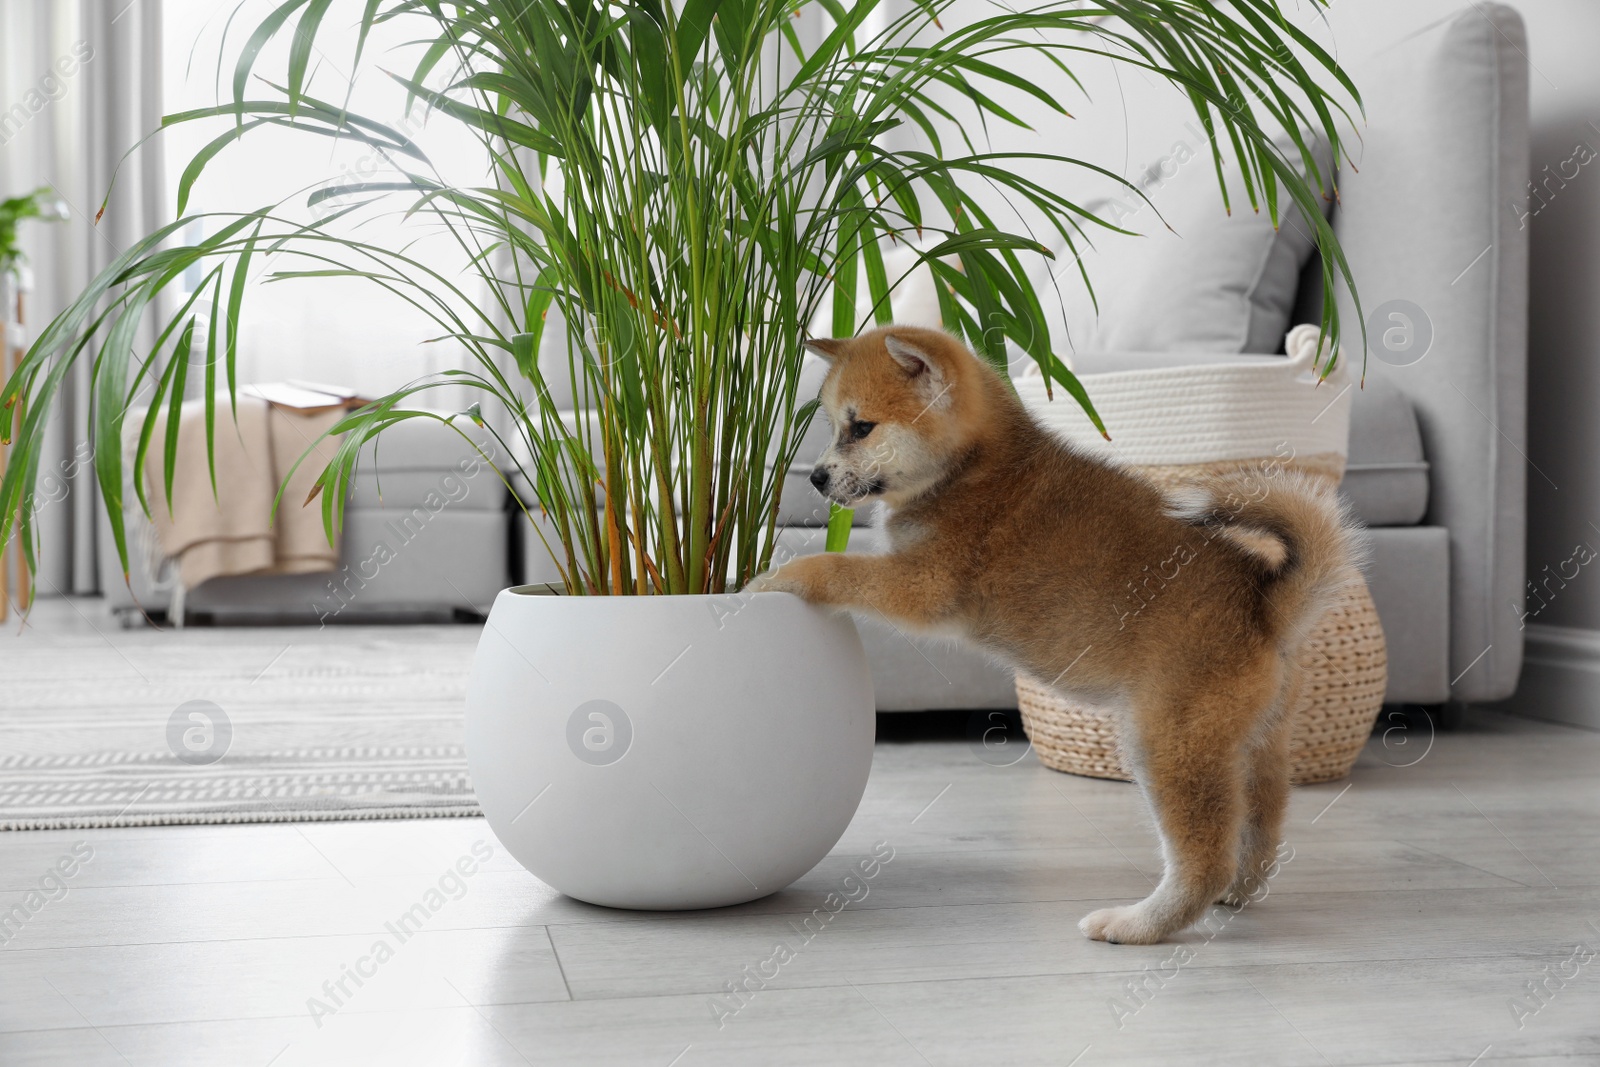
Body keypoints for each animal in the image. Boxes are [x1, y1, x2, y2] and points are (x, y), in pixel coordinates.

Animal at [755, 323, 1356, 940]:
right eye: (835, 426)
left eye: (861, 428)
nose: (817, 478)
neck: (972, 467)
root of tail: (1262, 604)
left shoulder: (921, 585)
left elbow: (838, 568)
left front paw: (778, 578)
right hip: (1256, 742)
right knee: (1261, 830)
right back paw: (1236, 891)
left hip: (1170, 741)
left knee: (1203, 859)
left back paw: (1138, 923)